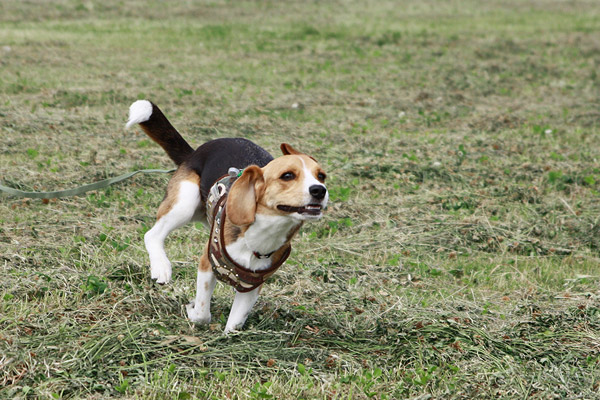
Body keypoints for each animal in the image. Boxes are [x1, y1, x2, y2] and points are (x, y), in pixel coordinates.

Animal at [125, 101, 328, 334]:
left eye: (321, 176)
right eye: (287, 176)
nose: (320, 190)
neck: (265, 231)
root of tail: (195, 153)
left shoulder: (252, 285)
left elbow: (235, 324)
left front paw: (228, 336)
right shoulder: (206, 264)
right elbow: (202, 314)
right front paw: (193, 311)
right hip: (185, 202)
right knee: (152, 234)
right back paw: (161, 267)